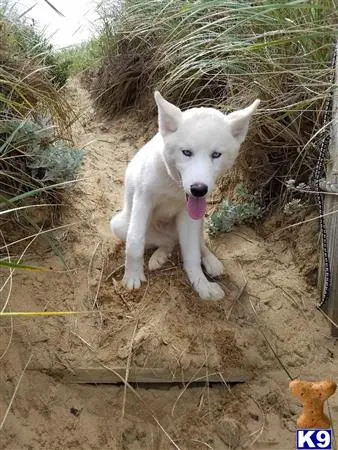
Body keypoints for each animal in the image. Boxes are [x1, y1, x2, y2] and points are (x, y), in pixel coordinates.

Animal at [111, 92, 258, 300]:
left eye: (216, 155)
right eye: (186, 152)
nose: (199, 189)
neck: (174, 185)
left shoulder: (190, 217)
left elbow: (192, 255)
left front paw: (201, 285)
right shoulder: (142, 201)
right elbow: (135, 241)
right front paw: (132, 275)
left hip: (197, 223)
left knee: (193, 243)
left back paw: (211, 261)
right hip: (119, 224)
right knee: (167, 242)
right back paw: (160, 256)